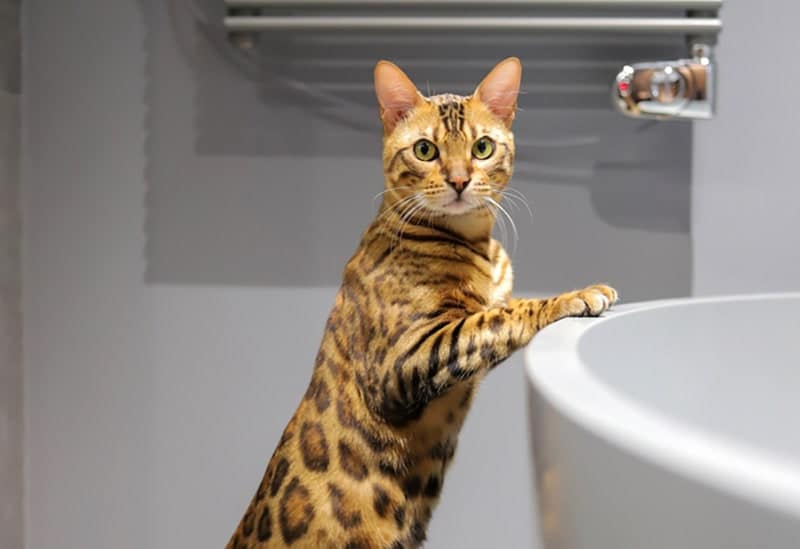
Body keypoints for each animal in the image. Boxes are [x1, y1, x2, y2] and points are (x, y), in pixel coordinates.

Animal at [227, 57, 620, 544]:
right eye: (425, 150)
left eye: (483, 147)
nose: (459, 180)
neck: (475, 244)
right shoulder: (402, 361)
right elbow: (498, 316)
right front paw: (577, 295)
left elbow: (495, 310)